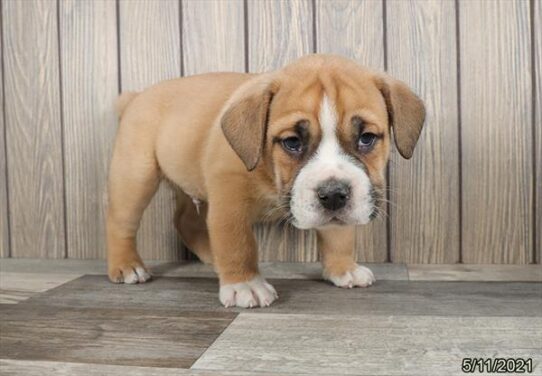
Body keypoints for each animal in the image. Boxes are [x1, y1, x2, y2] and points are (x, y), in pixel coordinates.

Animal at [106, 55, 424, 308]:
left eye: (367, 138)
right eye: (292, 142)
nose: (334, 194)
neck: (270, 173)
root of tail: (136, 97)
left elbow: (339, 235)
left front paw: (343, 267)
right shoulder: (229, 203)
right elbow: (238, 242)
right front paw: (244, 284)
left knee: (186, 220)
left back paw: (212, 257)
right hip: (136, 176)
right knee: (121, 223)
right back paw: (126, 265)